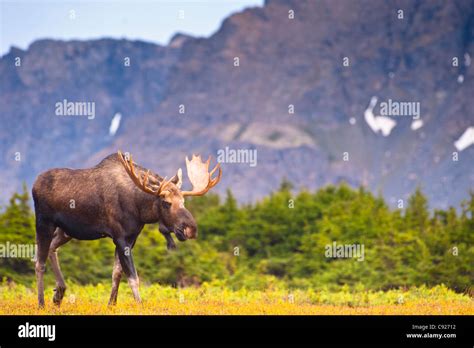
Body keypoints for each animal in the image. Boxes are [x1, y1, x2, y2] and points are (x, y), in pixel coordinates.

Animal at [33, 152, 222, 308]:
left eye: (183, 201)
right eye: (166, 203)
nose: (191, 229)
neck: (140, 209)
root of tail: (34, 184)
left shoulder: (131, 238)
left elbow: (117, 273)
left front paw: (111, 304)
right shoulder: (120, 237)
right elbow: (133, 277)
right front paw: (140, 305)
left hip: (65, 231)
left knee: (52, 249)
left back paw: (59, 293)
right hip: (44, 223)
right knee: (39, 262)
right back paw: (41, 303)